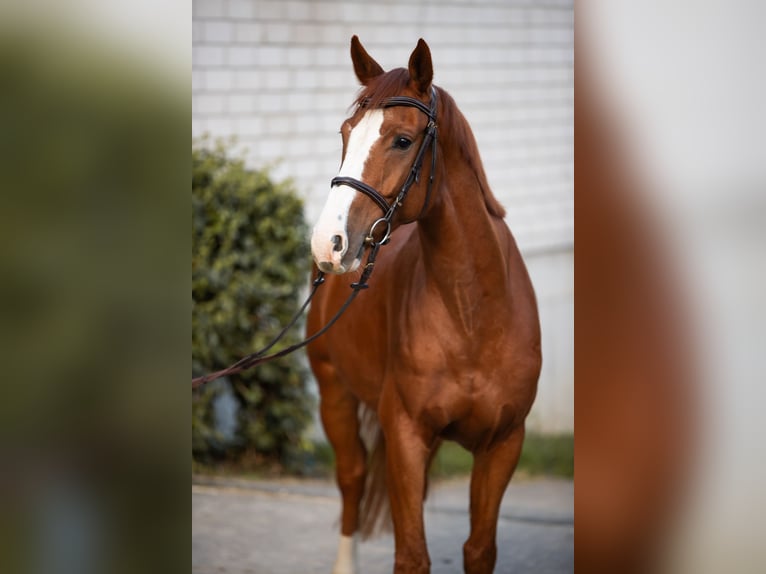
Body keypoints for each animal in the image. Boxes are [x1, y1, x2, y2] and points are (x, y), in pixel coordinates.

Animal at [308, 37, 544, 574]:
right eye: (346, 133)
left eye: (401, 140)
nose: (328, 242)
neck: (474, 314)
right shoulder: (406, 436)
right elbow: (411, 555)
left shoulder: (504, 443)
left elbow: (479, 550)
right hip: (334, 393)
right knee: (352, 478)